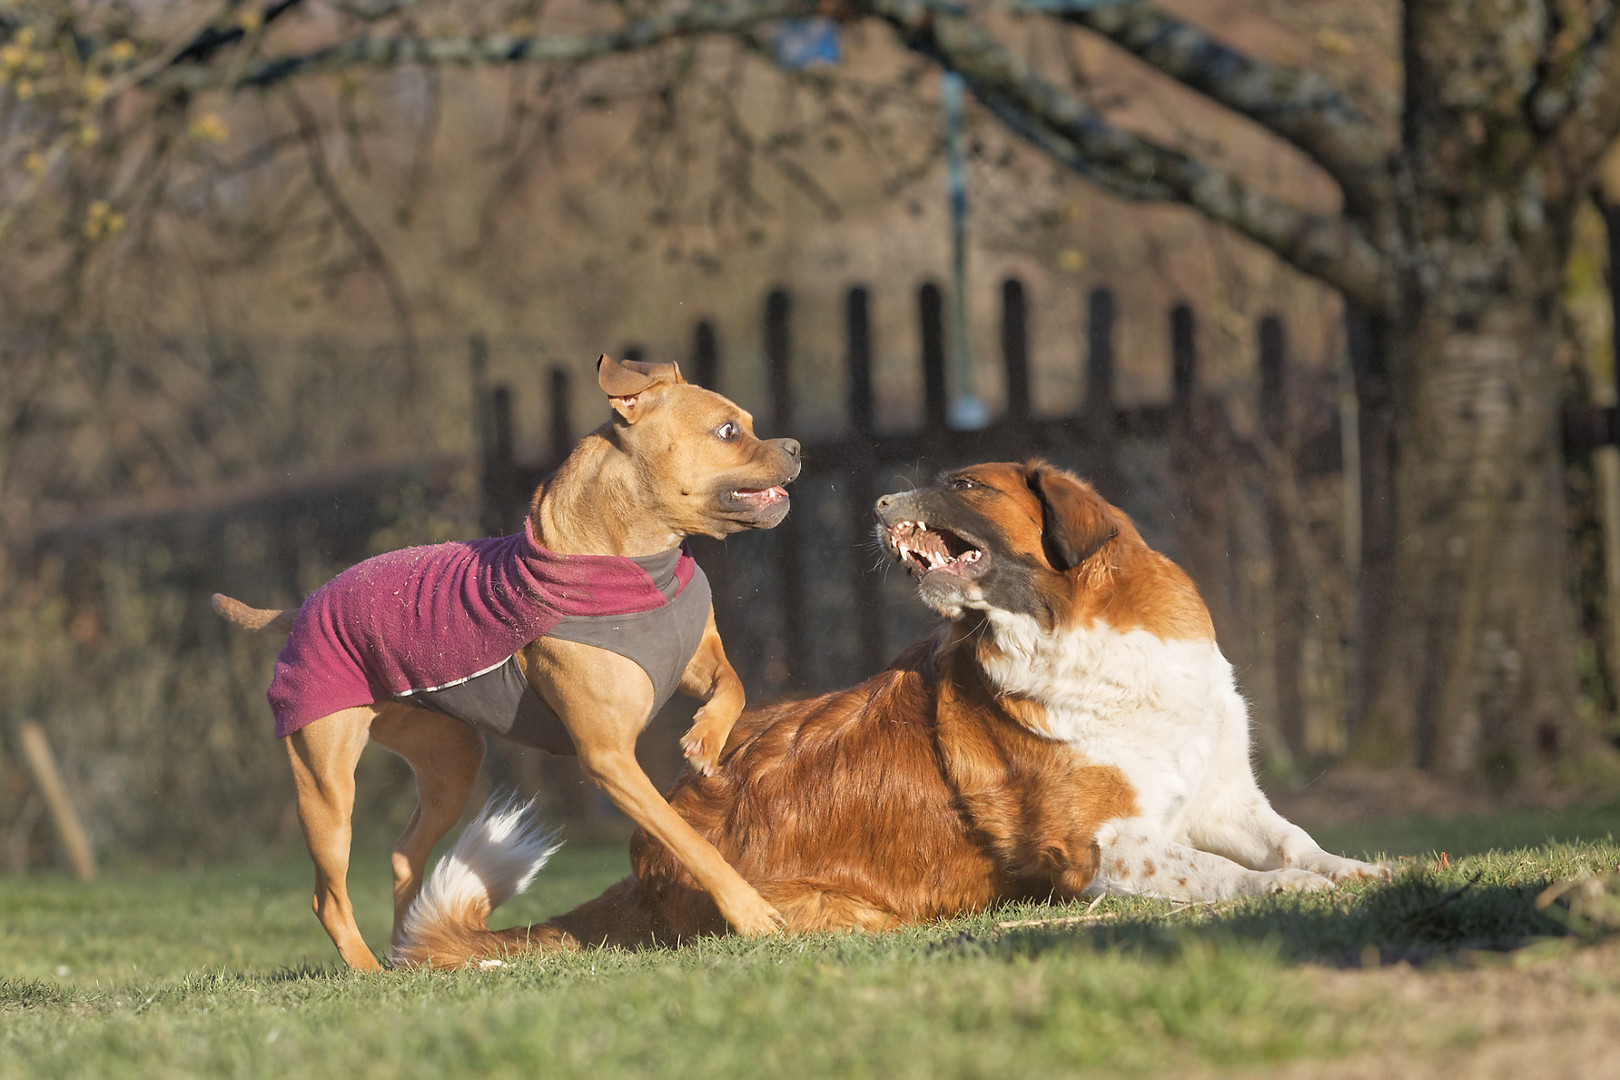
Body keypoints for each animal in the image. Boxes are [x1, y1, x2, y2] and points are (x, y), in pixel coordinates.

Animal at [210, 356, 803, 971]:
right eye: (727, 431)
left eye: (749, 423)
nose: (796, 445)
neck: (639, 562)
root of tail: (304, 606)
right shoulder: (609, 759)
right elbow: (686, 839)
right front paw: (749, 911)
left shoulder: (695, 662)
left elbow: (732, 685)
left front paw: (707, 737)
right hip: (326, 791)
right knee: (328, 895)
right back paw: (369, 968)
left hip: (450, 763)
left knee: (404, 855)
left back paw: (418, 951)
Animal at [392, 459, 1380, 965]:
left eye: (968, 487)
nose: (876, 501)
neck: (1076, 633)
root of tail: (650, 854)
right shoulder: (1105, 845)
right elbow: (1224, 875)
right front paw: (1286, 892)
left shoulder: (1222, 799)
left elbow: (1293, 841)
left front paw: (1355, 869)